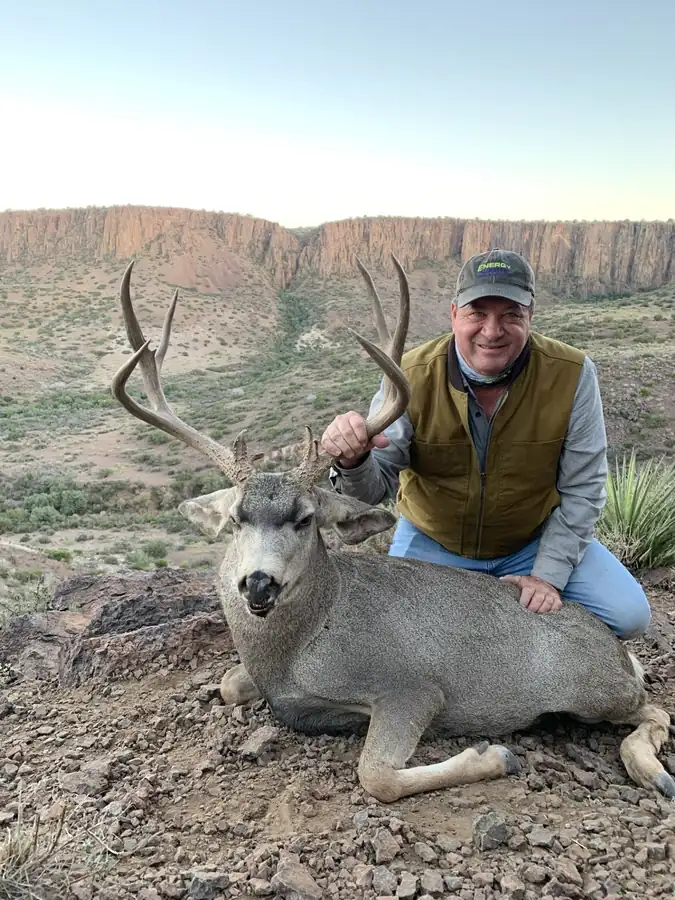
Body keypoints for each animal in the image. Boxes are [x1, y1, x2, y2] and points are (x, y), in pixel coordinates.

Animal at [111, 256, 674, 804]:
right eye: (235, 519)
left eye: (305, 518)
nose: (257, 583)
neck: (297, 649)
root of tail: (619, 651)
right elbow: (228, 682)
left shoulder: (412, 687)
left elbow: (376, 775)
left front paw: (496, 756)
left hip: (595, 690)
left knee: (656, 708)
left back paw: (652, 773)